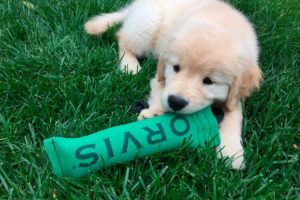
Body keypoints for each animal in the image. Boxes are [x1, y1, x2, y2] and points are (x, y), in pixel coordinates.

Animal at [84, 0, 260, 169]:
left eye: (209, 81)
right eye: (176, 68)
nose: (175, 102)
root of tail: (134, 6)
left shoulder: (234, 97)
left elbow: (234, 116)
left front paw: (233, 153)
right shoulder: (160, 76)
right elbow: (159, 90)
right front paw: (154, 112)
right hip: (148, 23)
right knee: (122, 38)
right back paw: (130, 66)